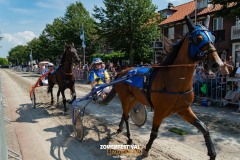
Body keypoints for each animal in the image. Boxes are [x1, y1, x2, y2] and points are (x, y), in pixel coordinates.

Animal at [101, 15, 223, 159]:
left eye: (213, 37)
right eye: (198, 38)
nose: (217, 64)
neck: (175, 81)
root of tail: (122, 72)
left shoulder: (183, 109)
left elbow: (203, 127)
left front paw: (212, 153)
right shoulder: (160, 111)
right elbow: (154, 132)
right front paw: (146, 149)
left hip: (134, 98)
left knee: (125, 114)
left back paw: (120, 129)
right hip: (125, 97)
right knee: (126, 116)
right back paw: (129, 137)